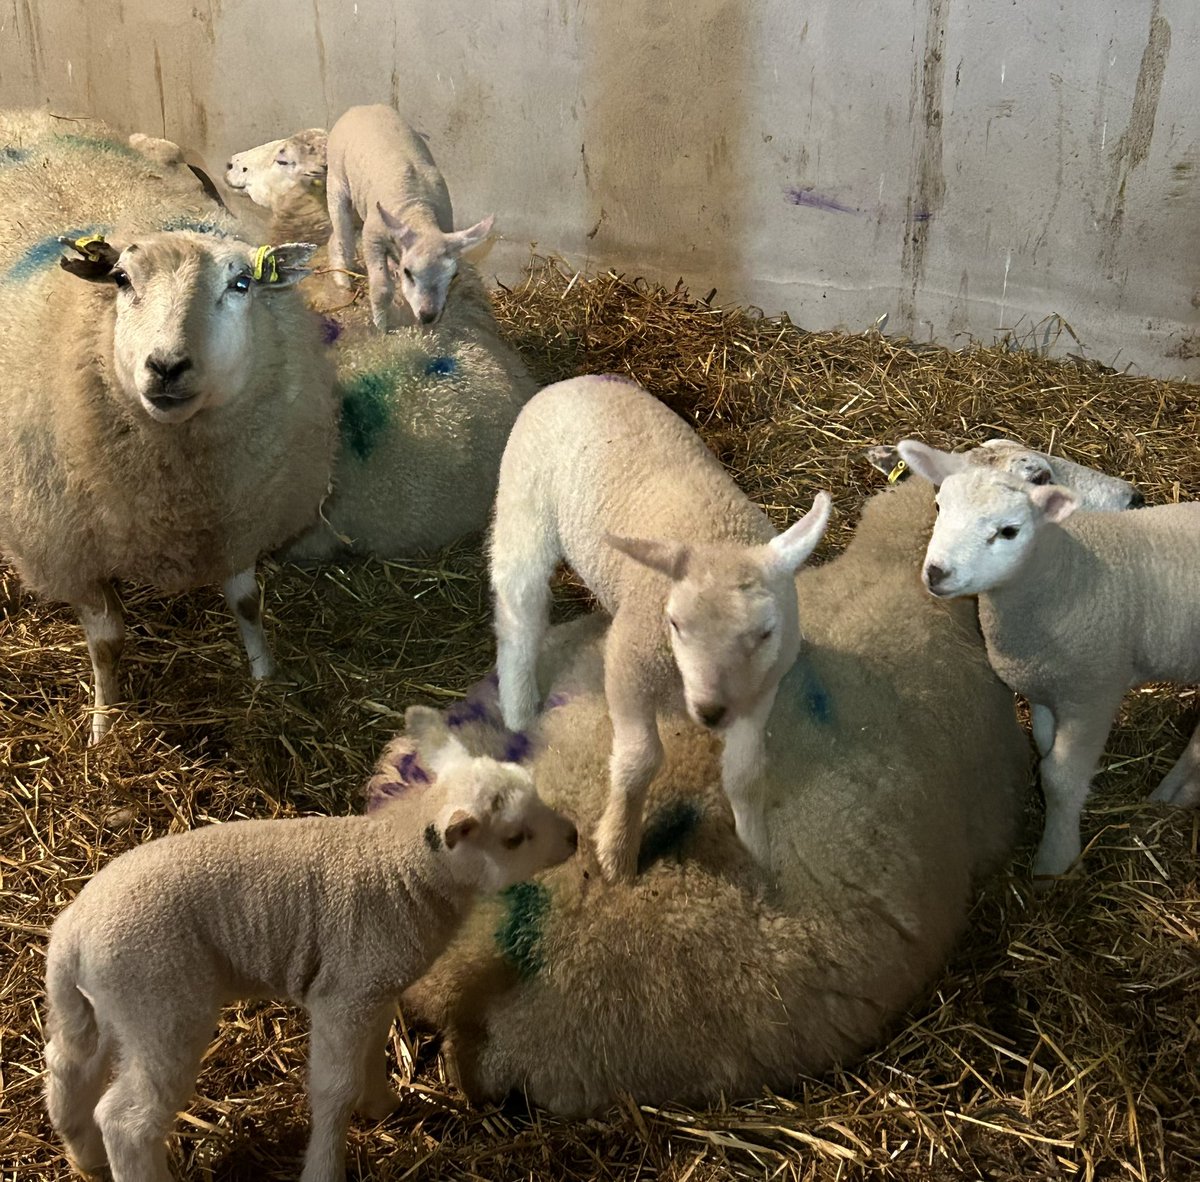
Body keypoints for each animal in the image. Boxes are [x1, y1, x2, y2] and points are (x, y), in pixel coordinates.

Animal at [0, 112, 338, 742]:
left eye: (241, 283)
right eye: (121, 280)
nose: (166, 366)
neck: (182, 487)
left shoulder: (238, 514)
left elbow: (247, 604)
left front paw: (266, 677)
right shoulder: (70, 549)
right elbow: (108, 644)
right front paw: (104, 726)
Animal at [42, 705, 578, 1182]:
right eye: (514, 837)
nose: (574, 836)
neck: (401, 865)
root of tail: (70, 935)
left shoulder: (371, 987)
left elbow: (372, 1050)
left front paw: (382, 1104)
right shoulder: (343, 995)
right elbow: (334, 1089)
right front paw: (327, 1165)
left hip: (112, 1006)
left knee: (68, 1064)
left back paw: (84, 1155)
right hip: (162, 1006)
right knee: (127, 1119)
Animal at [325, 104, 494, 330]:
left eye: (453, 276)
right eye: (409, 272)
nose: (427, 315)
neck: (418, 210)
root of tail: (362, 107)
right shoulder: (373, 237)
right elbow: (381, 288)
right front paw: (381, 326)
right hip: (337, 181)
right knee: (342, 234)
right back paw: (343, 277)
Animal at [491, 375, 832, 881]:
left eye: (766, 633)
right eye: (674, 623)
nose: (710, 713)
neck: (719, 534)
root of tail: (573, 381)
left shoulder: (760, 688)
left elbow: (745, 774)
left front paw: (756, 849)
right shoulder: (628, 664)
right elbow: (640, 761)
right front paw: (617, 850)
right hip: (523, 504)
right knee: (520, 614)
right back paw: (518, 709)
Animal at [897, 438, 1200, 878]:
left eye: (1009, 531)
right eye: (939, 507)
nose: (936, 573)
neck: (1068, 573)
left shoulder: (1092, 696)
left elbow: (1060, 777)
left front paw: (1054, 862)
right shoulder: (1041, 687)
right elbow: (1044, 748)